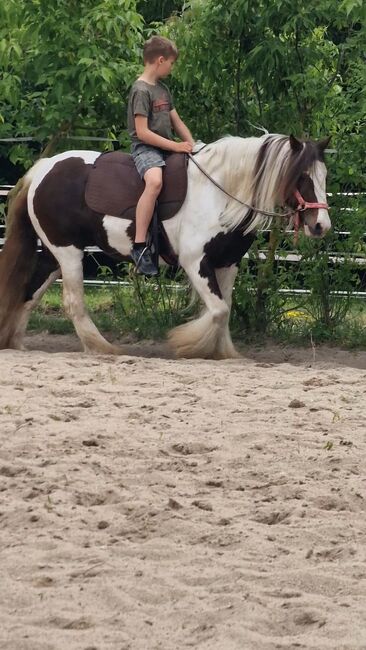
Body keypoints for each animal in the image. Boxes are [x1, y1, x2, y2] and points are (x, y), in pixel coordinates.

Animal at [0, 132, 332, 356]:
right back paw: (102, 347)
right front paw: (188, 343)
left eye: (323, 176)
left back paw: (16, 343)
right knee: (72, 302)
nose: (321, 225)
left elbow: (224, 309)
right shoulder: (195, 261)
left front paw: (223, 352)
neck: (220, 193)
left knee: (29, 294)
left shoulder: (227, 263)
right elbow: (219, 310)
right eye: (302, 176)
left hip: (53, 256)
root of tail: (43, 168)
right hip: (68, 253)